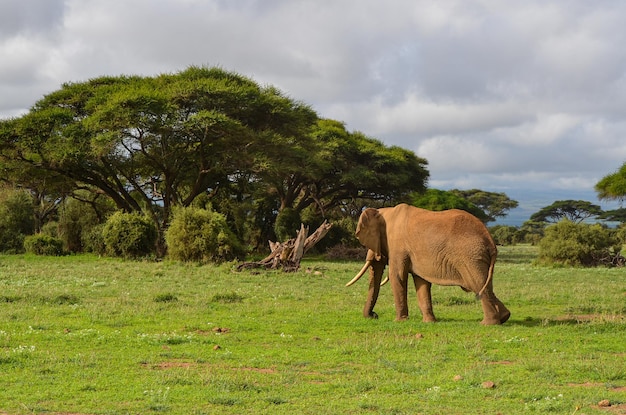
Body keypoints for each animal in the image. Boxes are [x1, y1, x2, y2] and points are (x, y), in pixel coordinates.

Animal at [344, 204, 510, 324]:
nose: (374, 315)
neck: (385, 212)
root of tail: (490, 240)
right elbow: (422, 282)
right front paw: (429, 322)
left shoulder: (397, 245)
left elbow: (397, 276)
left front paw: (399, 321)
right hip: (477, 257)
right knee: (484, 285)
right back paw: (504, 317)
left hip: (470, 257)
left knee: (477, 284)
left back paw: (488, 323)